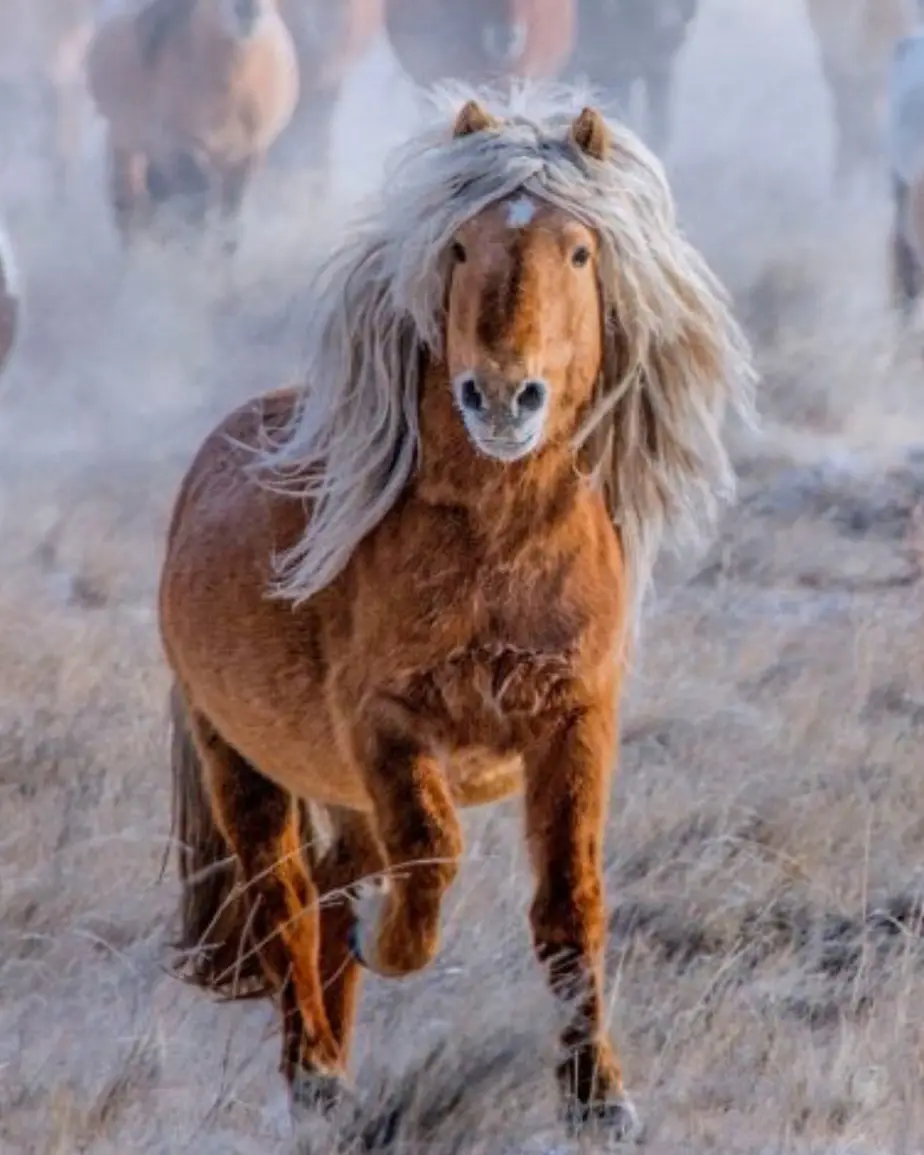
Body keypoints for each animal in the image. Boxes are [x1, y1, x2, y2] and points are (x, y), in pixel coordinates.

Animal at [85, 0, 299, 255]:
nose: (247, 10)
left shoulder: (247, 153)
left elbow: (230, 218)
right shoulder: (176, 147)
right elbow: (196, 202)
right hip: (126, 144)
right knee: (129, 206)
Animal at [159, 89, 755, 1133]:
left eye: (579, 251)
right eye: (462, 247)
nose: (504, 397)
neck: (496, 550)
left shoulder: (574, 722)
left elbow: (569, 904)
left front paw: (598, 1097)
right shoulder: (388, 726)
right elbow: (433, 856)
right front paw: (388, 942)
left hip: (338, 788)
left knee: (329, 886)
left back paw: (337, 1061)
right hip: (240, 758)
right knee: (283, 896)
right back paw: (314, 1074)